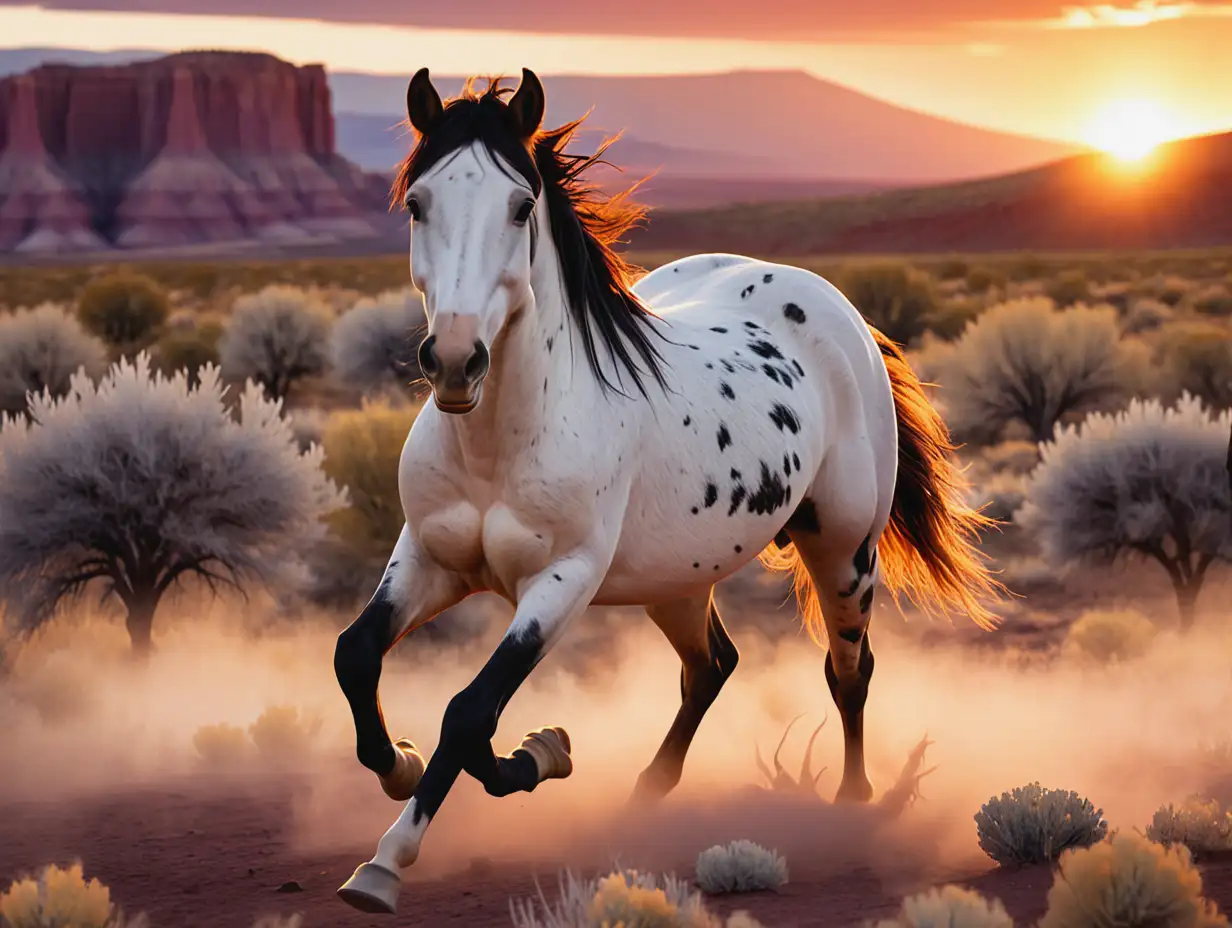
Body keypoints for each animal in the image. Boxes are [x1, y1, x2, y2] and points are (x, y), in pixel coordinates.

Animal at [330, 66, 1000, 911]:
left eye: (519, 206)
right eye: (418, 202)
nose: (454, 361)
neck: (501, 444)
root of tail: (837, 308)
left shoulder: (563, 581)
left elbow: (469, 711)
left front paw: (388, 860)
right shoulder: (428, 558)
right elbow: (359, 658)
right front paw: (477, 757)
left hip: (844, 552)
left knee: (848, 672)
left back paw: (851, 802)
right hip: (676, 579)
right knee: (711, 667)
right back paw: (644, 794)